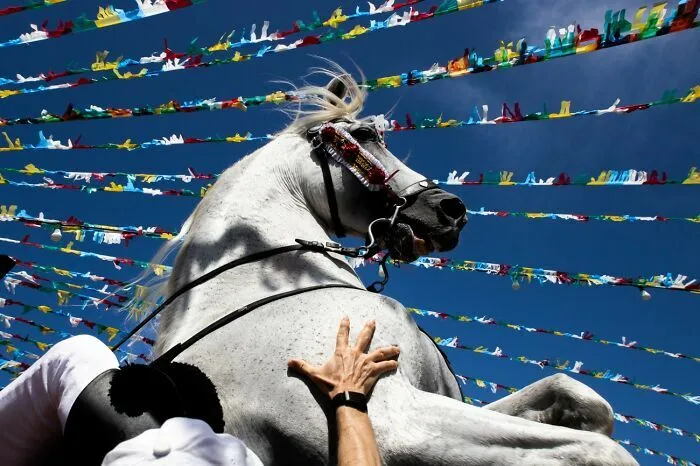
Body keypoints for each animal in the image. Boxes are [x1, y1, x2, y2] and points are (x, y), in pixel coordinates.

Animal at [140, 69, 638, 465]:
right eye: (364, 136)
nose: (452, 210)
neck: (259, 292)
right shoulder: (394, 423)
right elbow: (597, 449)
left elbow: (581, 398)